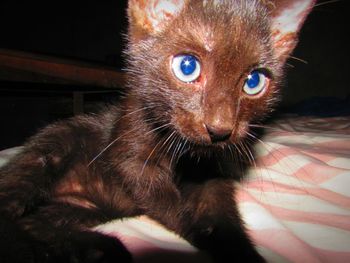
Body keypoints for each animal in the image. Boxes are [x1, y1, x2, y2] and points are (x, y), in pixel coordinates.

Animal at [0, 1, 314, 262]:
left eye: (254, 81)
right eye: (187, 67)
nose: (219, 129)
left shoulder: (214, 173)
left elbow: (221, 212)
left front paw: (238, 251)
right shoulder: (132, 153)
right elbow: (169, 205)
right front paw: (198, 231)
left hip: (76, 208)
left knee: (33, 223)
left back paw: (95, 250)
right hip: (52, 147)